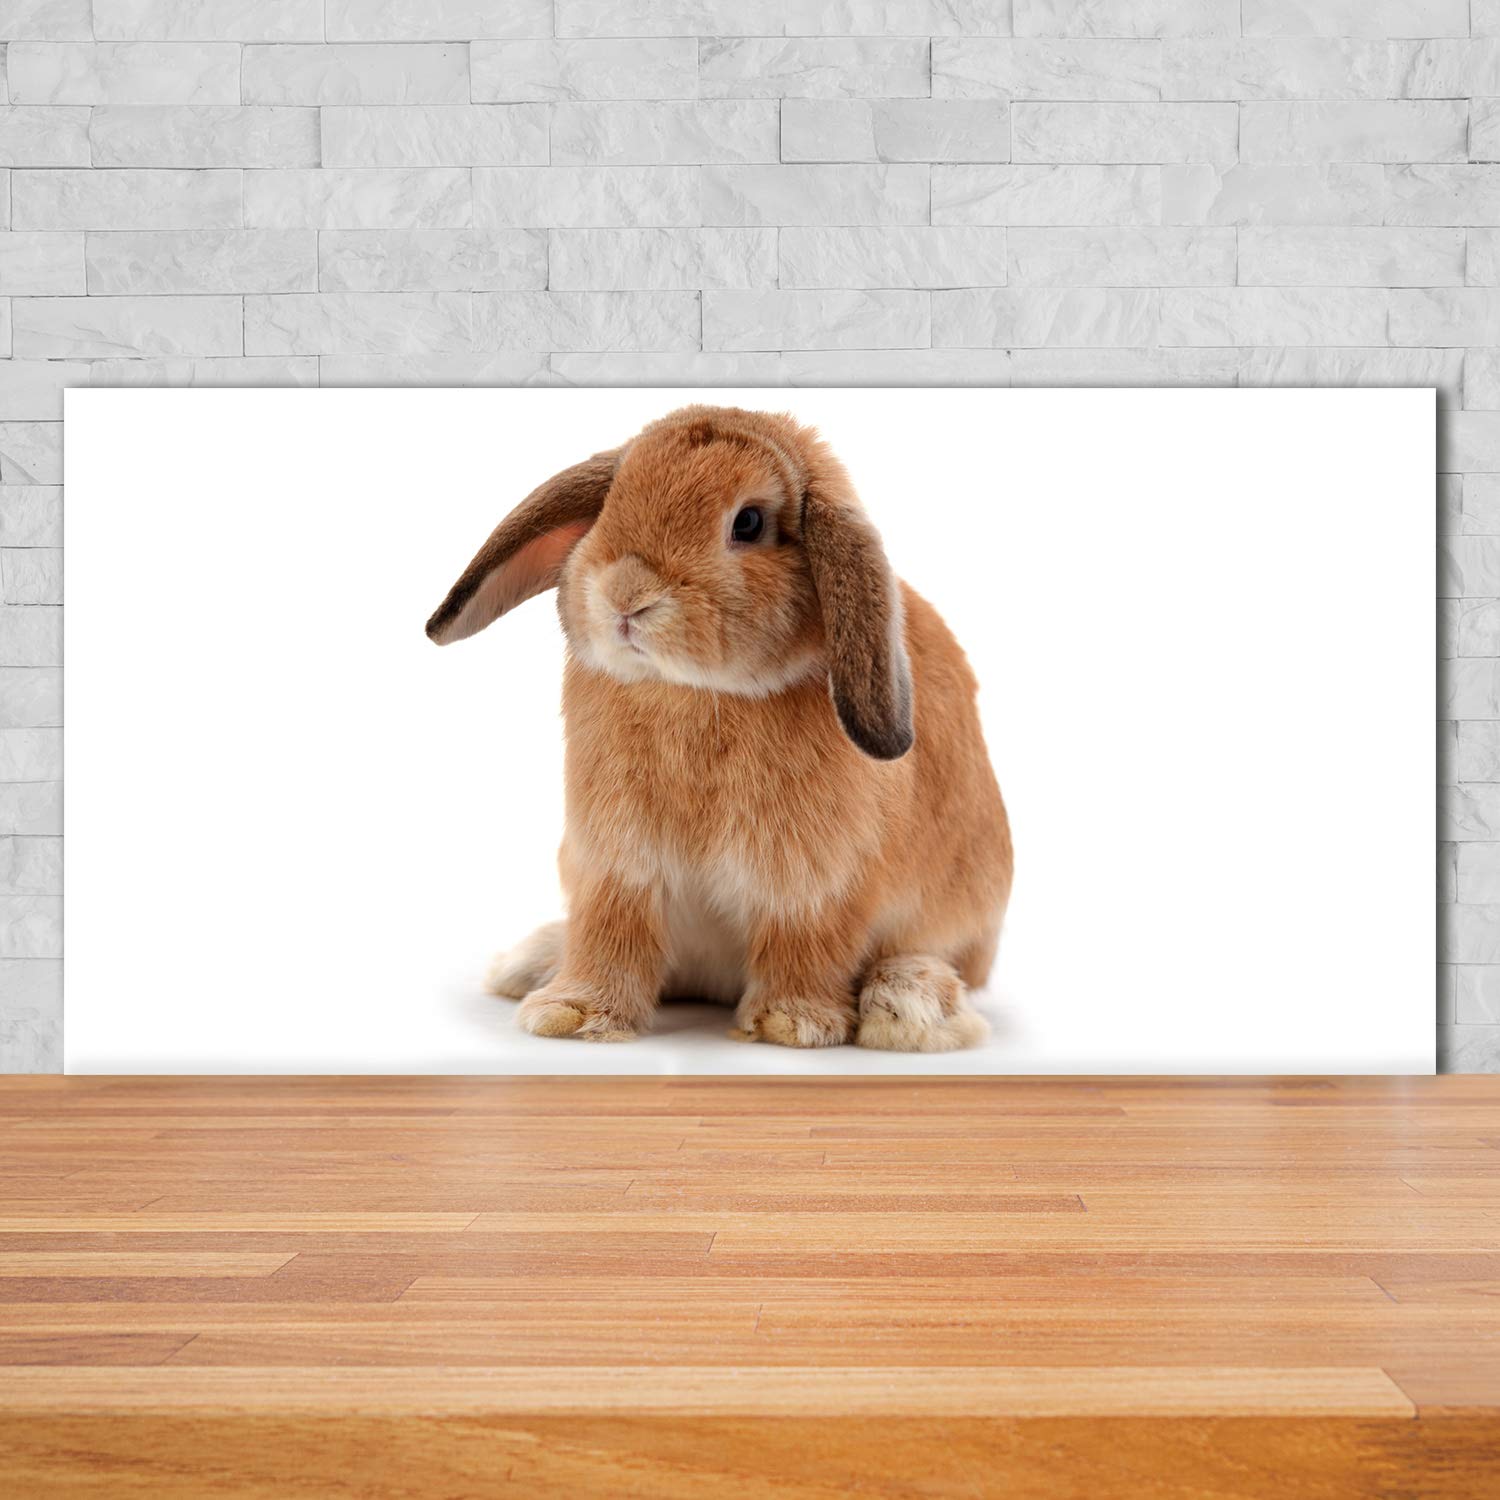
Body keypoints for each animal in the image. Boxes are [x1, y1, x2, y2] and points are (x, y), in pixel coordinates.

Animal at [426, 404, 1012, 1052]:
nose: (626, 594)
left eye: (749, 523)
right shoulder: (618, 864)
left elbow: (804, 943)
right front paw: (570, 1014)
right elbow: (610, 933)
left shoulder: (815, 880)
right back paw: (529, 962)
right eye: (611, 503)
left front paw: (790, 1023)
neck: (696, 691)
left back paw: (910, 1005)